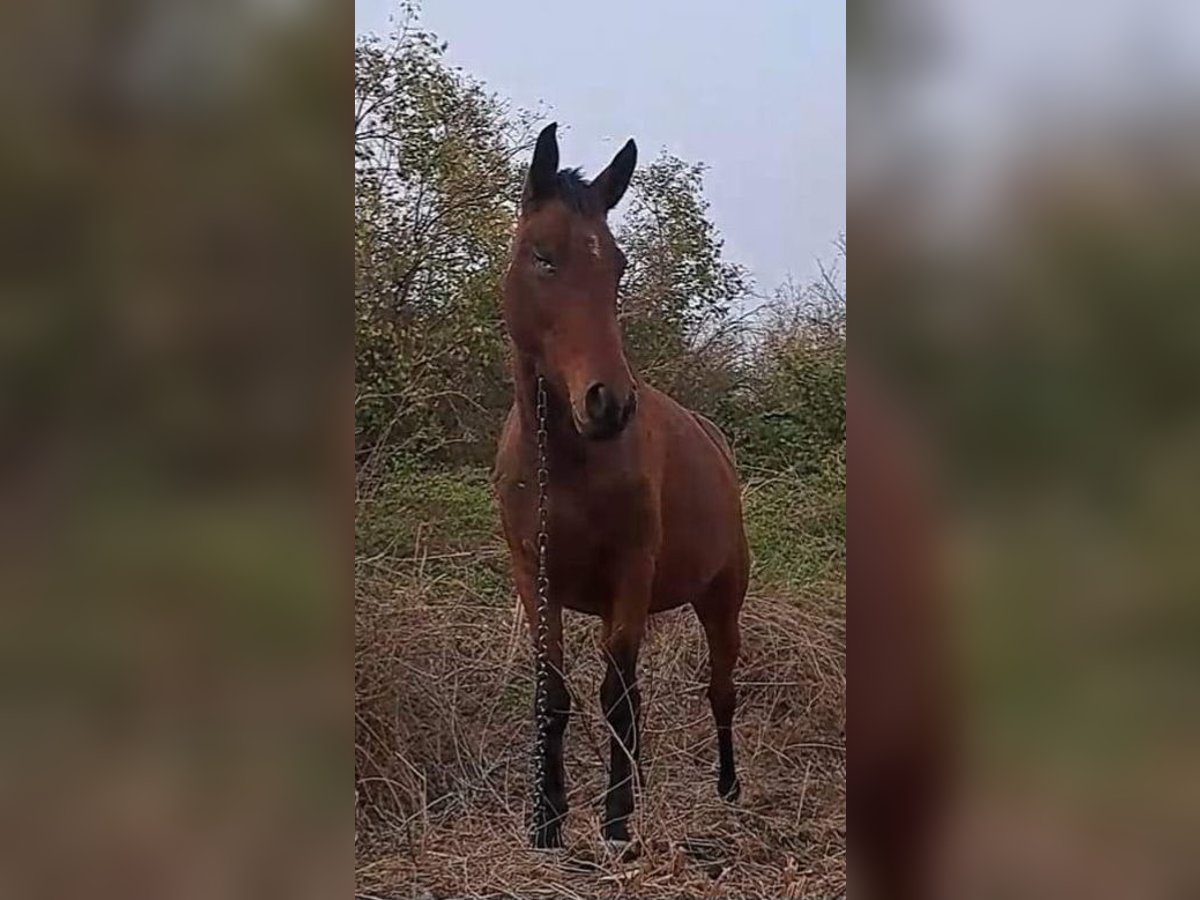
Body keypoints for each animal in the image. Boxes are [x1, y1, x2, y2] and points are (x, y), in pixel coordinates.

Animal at [492, 123, 744, 849]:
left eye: (618, 266)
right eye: (542, 256)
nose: (609, 403)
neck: (565, 467)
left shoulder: (631, 571)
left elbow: (618, 695)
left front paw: (616, 821)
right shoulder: (534, 575)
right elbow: (553, 694)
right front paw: (546, 821)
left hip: (723, 599)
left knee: (721, 689)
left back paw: (728, 789)